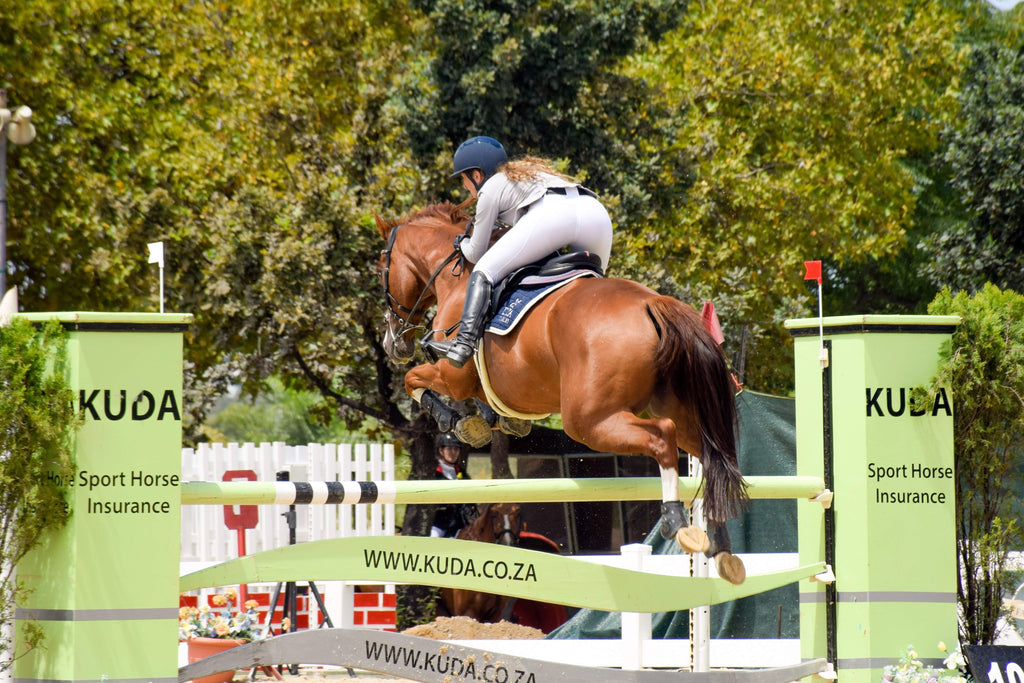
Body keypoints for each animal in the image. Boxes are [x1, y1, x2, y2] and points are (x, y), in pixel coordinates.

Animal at [372, 202, 749, 581]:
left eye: (381, 267)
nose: (393, 344)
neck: (457, 279)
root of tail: (653, 304)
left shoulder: (453, 376)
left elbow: (414, 380)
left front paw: (453, 419)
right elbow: (483, 402)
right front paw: (489, 422)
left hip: (589, 422)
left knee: (662, 437)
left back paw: (676, 522)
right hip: (676, 409)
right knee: (707, 453)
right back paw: (720, 545)